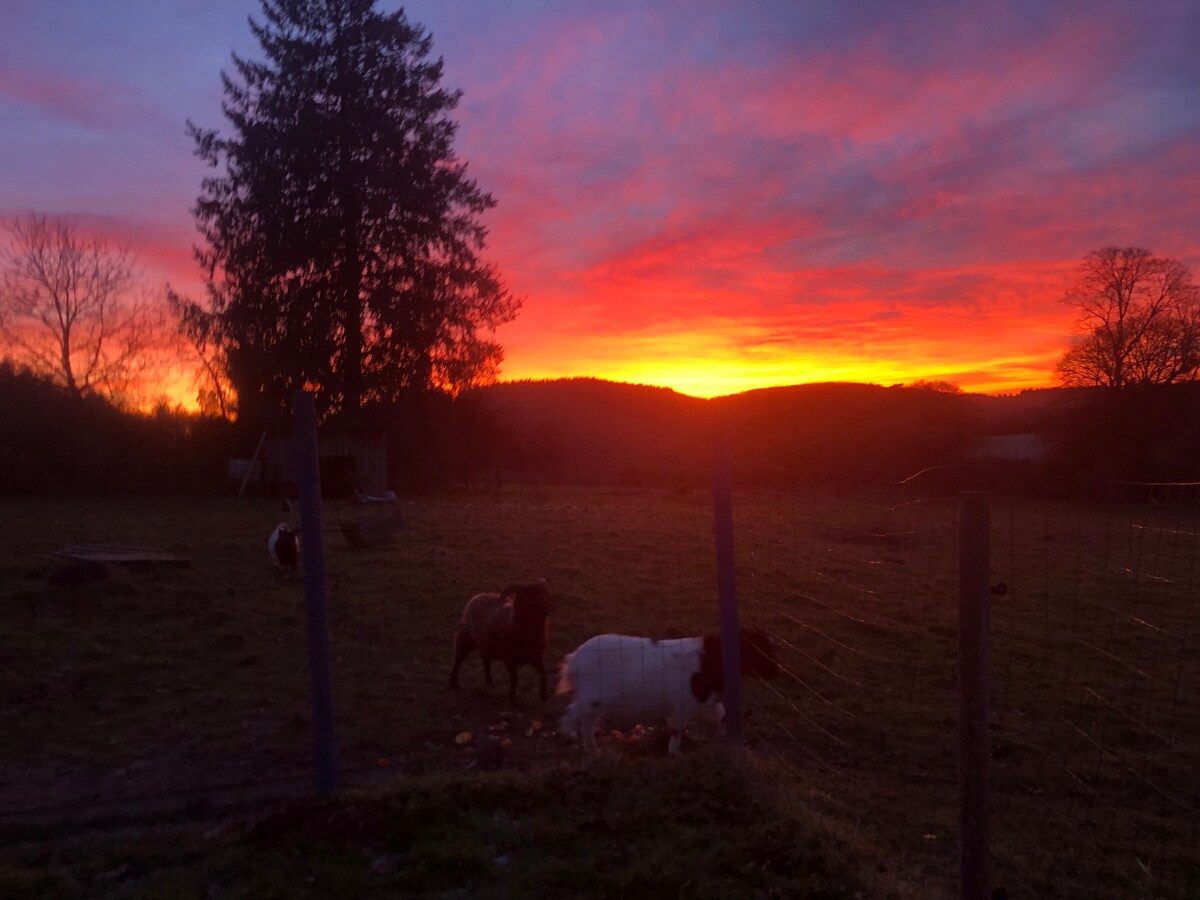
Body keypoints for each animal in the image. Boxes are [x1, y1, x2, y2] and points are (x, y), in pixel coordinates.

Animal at [556, 628, 782, 758]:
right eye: (759, 649)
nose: (777, 671)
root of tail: (573, 660)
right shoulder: (683, 704)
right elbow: (677, 729)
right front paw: (675, 753)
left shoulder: (702, 701)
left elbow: (721, 714)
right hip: (592, 696)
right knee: (571, 712)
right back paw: (567, 737)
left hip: (596, 702)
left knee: (585, 722)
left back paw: (594, 751)